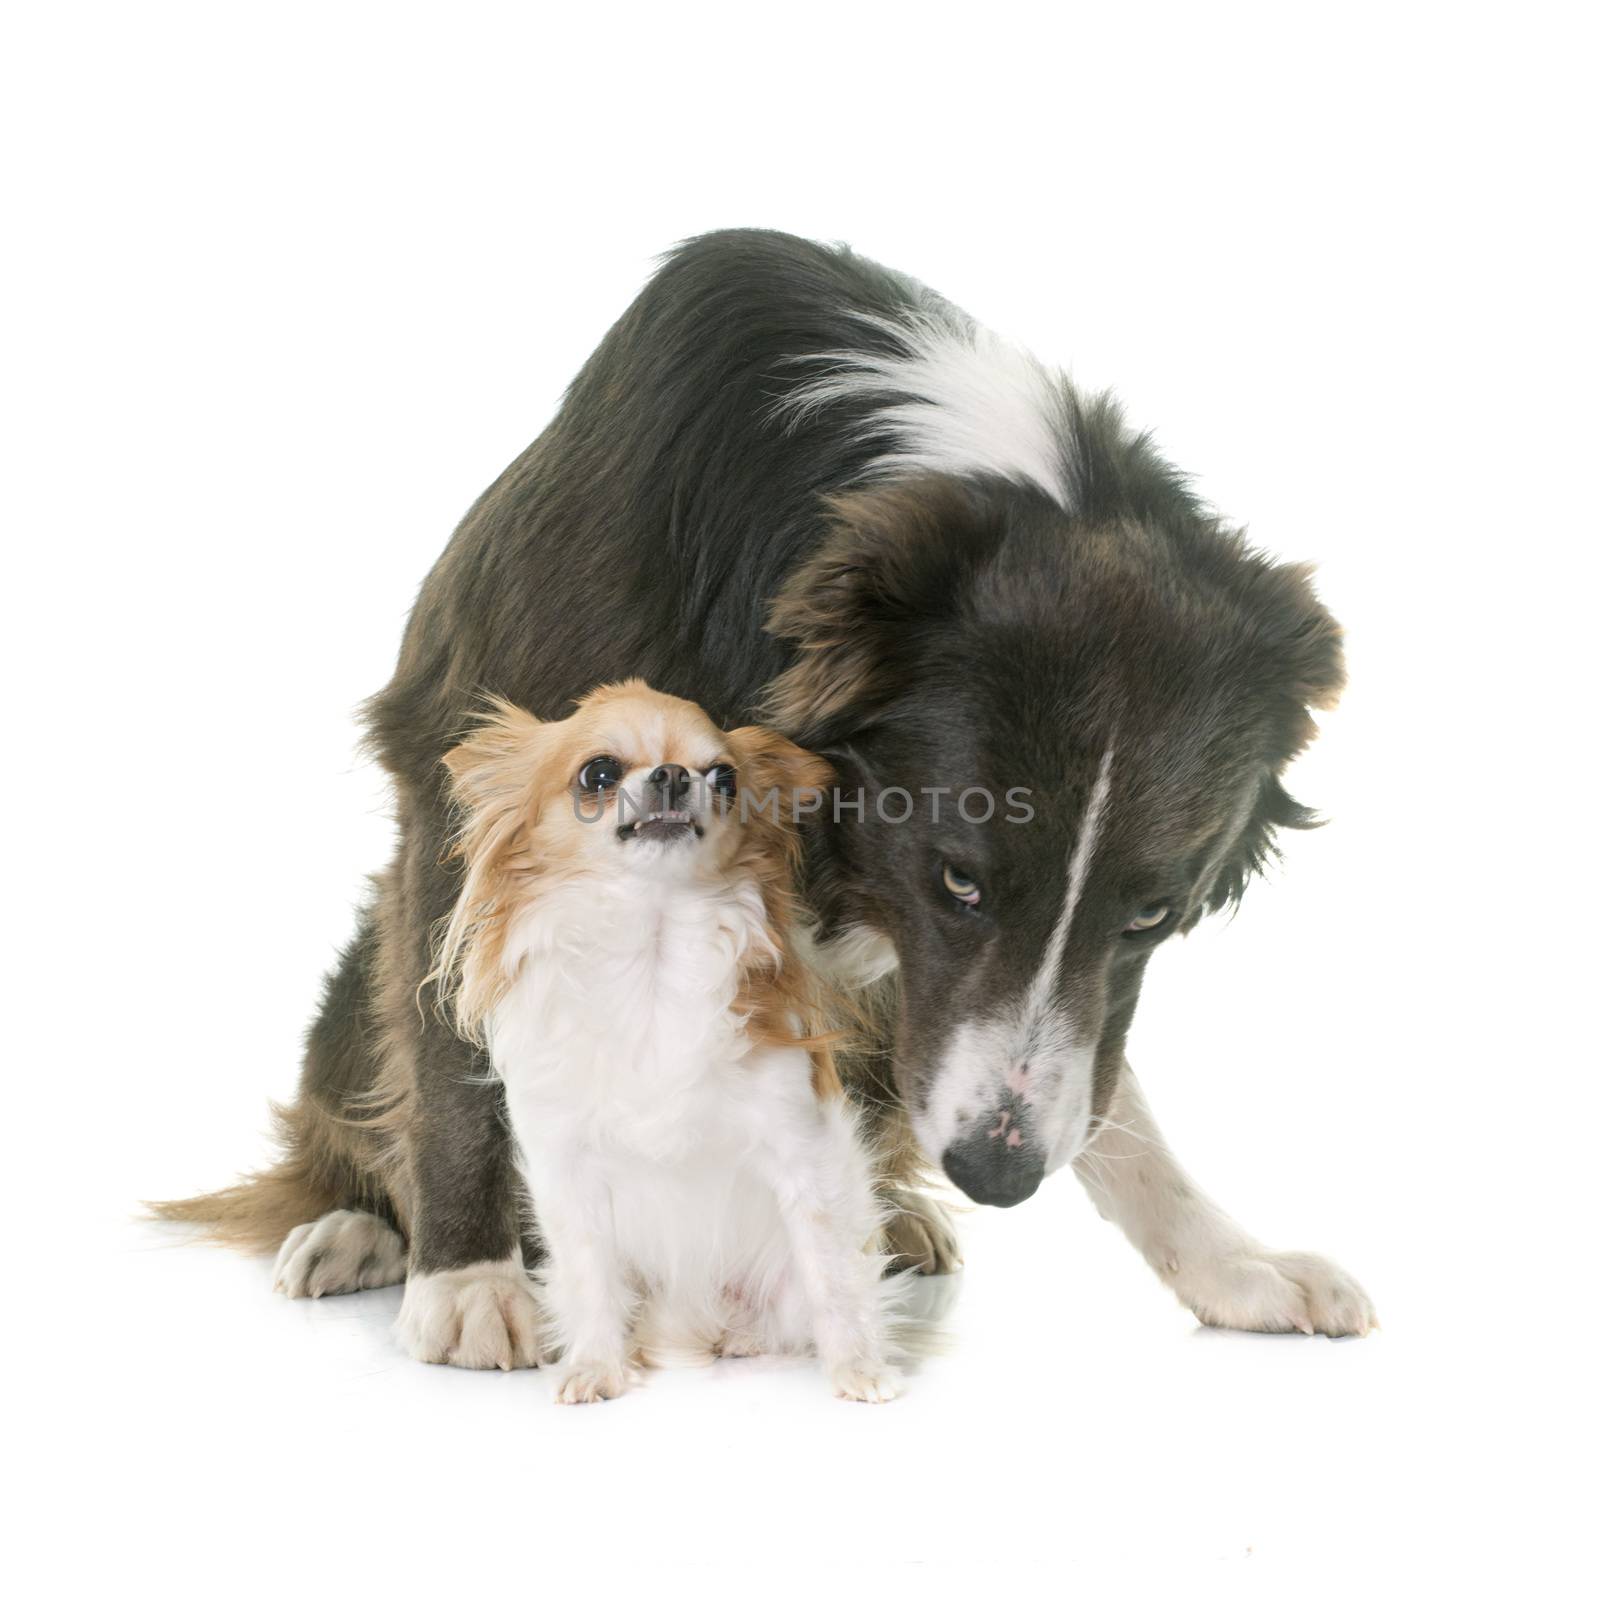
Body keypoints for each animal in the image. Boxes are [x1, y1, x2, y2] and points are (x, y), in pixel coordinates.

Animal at [435, 681, 902, 1408]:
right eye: (597, 774)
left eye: (726, 778)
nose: (674, 776)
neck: (651, 959)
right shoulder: (568, 1169)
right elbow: (590, 1276)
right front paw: (596, 1367)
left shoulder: (804, 1150)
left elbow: (831, 1273)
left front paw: (857, 1368)